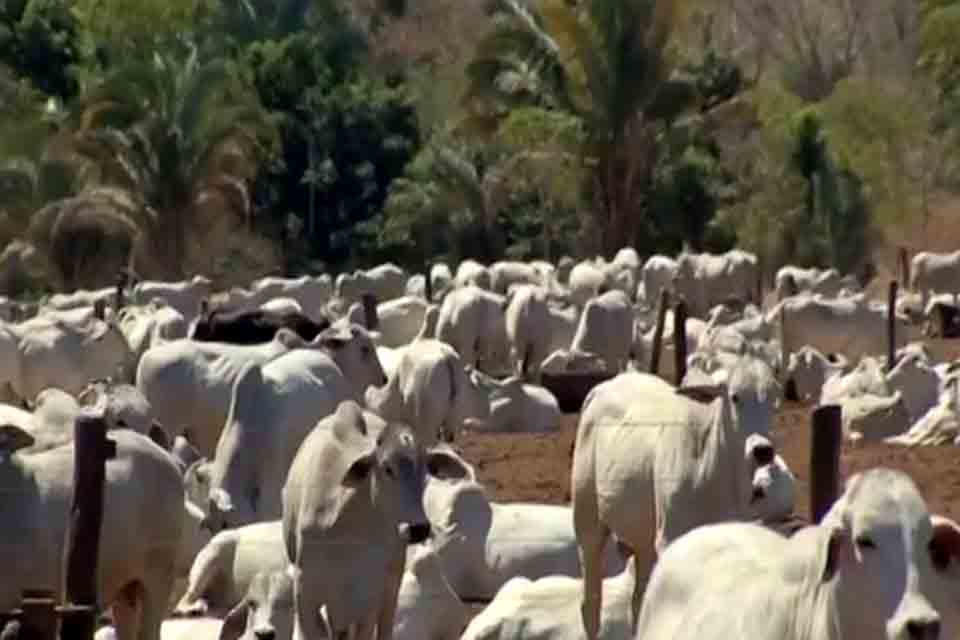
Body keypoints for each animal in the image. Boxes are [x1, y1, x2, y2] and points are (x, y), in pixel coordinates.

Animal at [280, 404, 470, 640]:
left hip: (389, 585)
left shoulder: (368, 599)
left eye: (426, 471)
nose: (418, 528)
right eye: (387, 468)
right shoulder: (305, 595)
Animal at [568, 356, 780, 640]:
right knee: (590, 602)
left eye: (774, 398)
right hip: (587, 520)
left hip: (644, 541)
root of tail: (604, 386)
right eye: (735, 397)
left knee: (638, 601)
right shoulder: (670, 536)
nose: (762, 450)